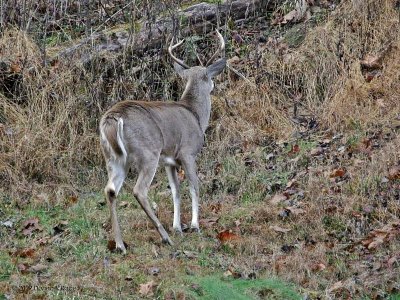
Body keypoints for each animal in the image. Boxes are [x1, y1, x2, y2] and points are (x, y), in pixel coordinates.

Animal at [99, 30, 227, 252]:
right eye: (209, 77)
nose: (215, 85)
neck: (195, 115)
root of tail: (113, 118)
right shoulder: (188, 152)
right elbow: (194, 186)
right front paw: (194, 225)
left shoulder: (169, 161)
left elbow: (175, 190)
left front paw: (178, 226)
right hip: (148, 152)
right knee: (139, 190)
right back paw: (165, 237)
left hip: (114, 158)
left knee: (110, 190)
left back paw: (120, 244)